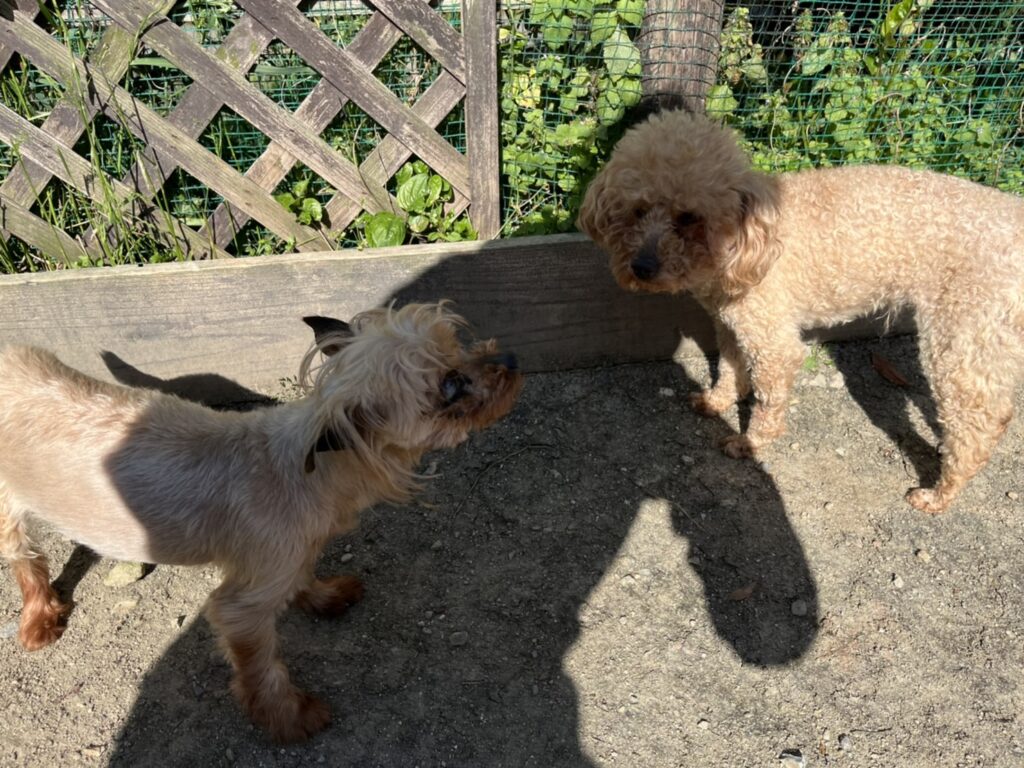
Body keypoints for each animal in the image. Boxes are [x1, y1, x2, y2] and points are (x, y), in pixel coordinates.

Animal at [0, 303, 523, 741]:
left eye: (457, 343)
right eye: (449, 386)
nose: (513, 358)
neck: (311, 471)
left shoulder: (293, 554)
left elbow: (305, 577)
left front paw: (322, 596)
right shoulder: (243, 605)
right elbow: (262, 668)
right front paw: (290, 717)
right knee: (23, 555)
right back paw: (39, 619)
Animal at [578, 108, 1024, 513]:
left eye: (688, 217)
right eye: (637, 209)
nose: (642, 267)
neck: (743, 244)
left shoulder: (773, 341)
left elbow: (768, 399)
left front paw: (749, 442)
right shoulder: (731, 324)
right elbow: (730, 368)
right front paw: (716, 402)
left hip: (959, 337)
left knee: (983, 420)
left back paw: (939, 493)